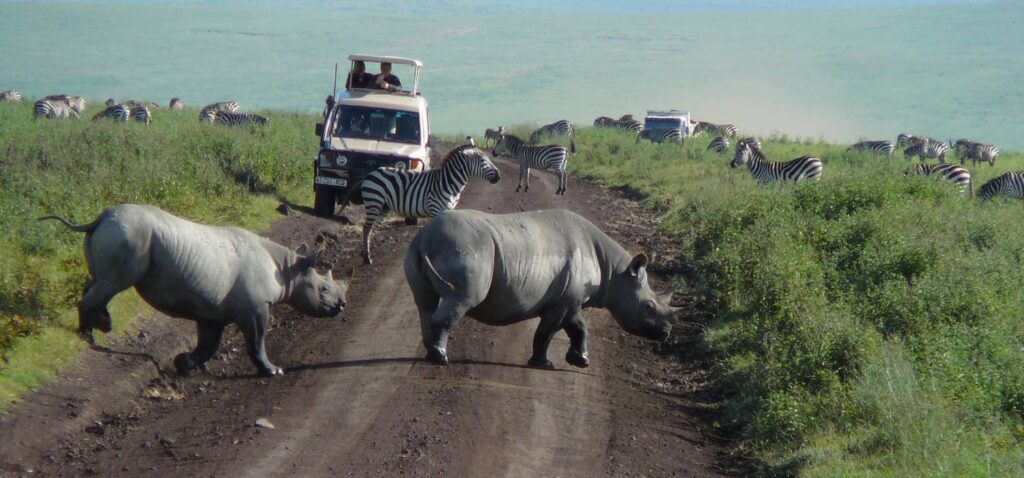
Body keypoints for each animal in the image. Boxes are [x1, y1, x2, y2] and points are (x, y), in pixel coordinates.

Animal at [339, 141, 499, 266]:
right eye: (483, 161)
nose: (498, 177)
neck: (448, 182)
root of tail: (370, 173)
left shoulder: (448, 210)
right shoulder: (436, 209)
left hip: (384, 207)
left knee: (371, 228)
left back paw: (365, 253)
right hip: (374, 202)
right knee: (366, 228)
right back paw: (367, 258)